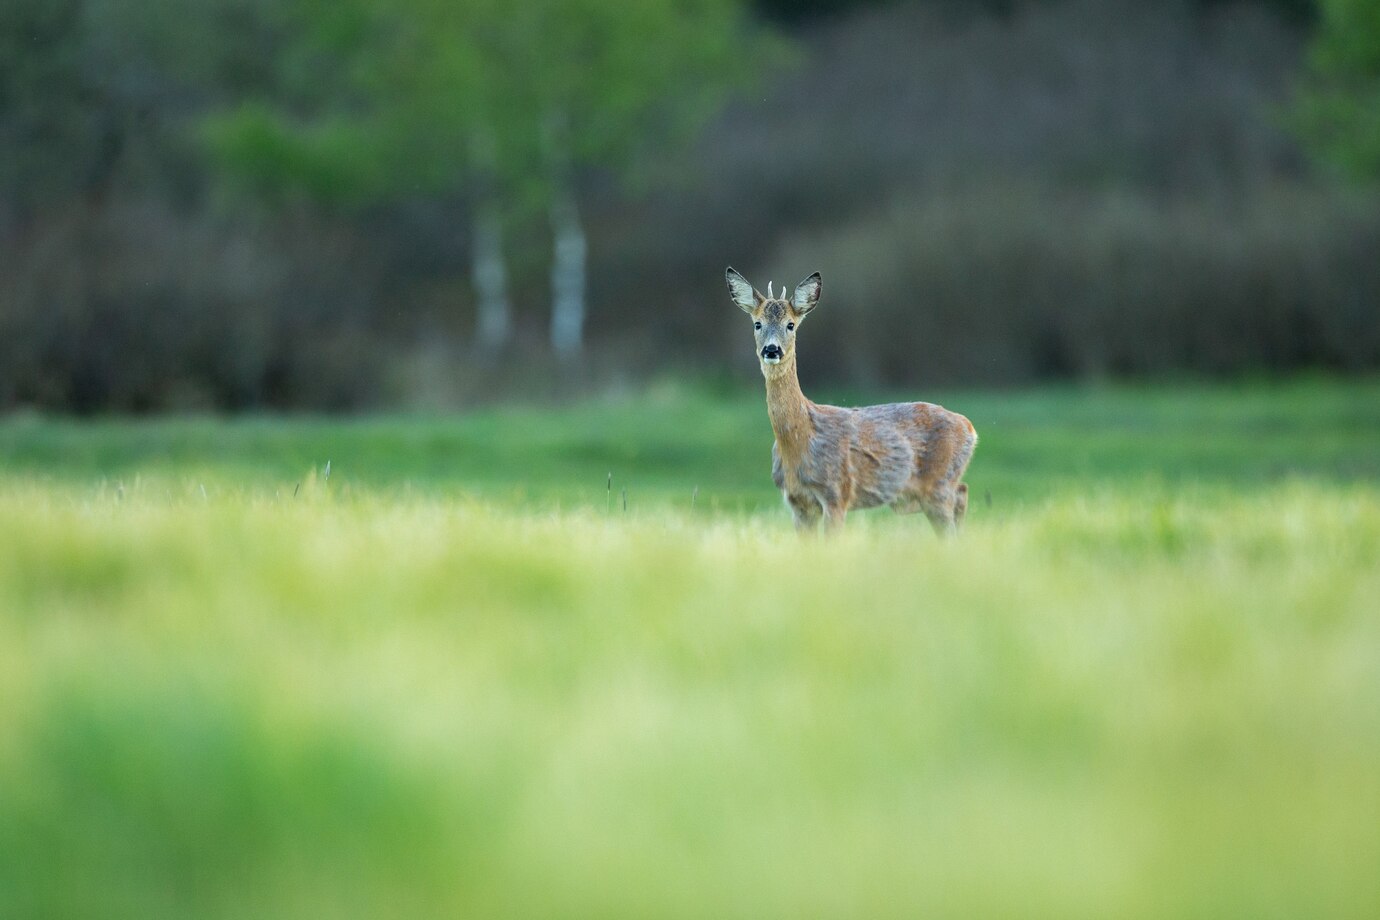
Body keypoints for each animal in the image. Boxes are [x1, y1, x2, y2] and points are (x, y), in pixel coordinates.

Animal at [728, 266, 977, 535]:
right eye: (757, 324)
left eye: (790, 325)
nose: (772, 350)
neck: (800, 439)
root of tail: (970, 428)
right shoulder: (798, 503)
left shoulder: (837, 492)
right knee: (961, 495)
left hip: (937, 484)